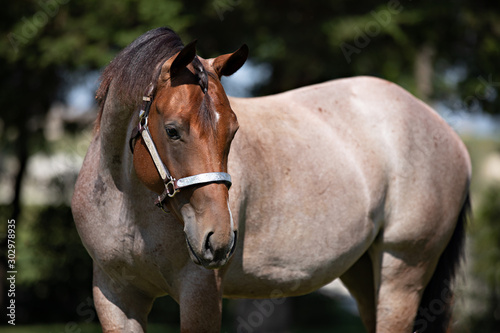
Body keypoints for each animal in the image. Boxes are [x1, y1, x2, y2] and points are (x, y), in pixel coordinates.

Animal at [72, 27, 470, 332]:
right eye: (173, 131)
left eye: (233, 132)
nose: (218, 239)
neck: (131, 208)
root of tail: (451, 136)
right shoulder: (115, 296)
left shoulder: (200, 294)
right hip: (363, 272)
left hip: (402, 273)